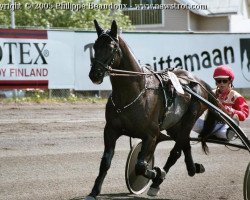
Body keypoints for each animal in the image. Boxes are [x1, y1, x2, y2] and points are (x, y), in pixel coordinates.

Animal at [86, 19, 219, 200]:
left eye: (112, 47)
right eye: (95, 46)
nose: (95, 74)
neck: (134, 92)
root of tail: (197, 80)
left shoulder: (151, 134)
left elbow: (141, 165)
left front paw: (157, 172)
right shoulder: (111, 130)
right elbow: (105, 161)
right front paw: (93, 192)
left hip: (190, 118)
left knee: (177, 150)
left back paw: (159, 180)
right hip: (174, 126)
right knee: (185, 145)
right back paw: (192, 169)